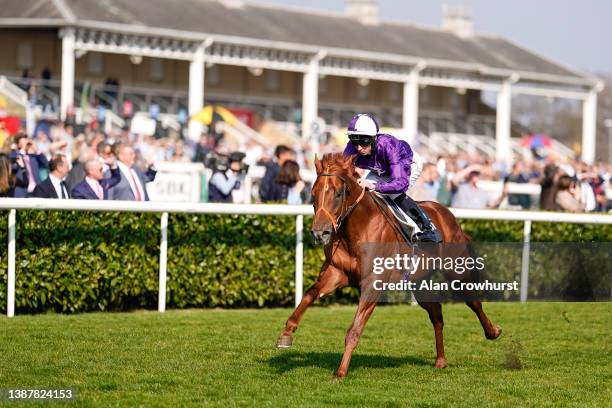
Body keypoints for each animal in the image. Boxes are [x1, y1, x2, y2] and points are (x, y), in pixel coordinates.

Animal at [278, 153, 502, 380]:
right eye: (313, 193)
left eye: (339, 193)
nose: (319, 233)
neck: (357, 230)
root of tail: (447, 214)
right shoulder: (336, 273)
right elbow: (309, 295)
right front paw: (286, 334)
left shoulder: (373, 282)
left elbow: (354, 329)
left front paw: (341, 372)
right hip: (417, 282)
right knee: (436, 313)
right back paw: (441, 360)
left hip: (457, 270)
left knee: (473, 302)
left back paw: (493, 332)